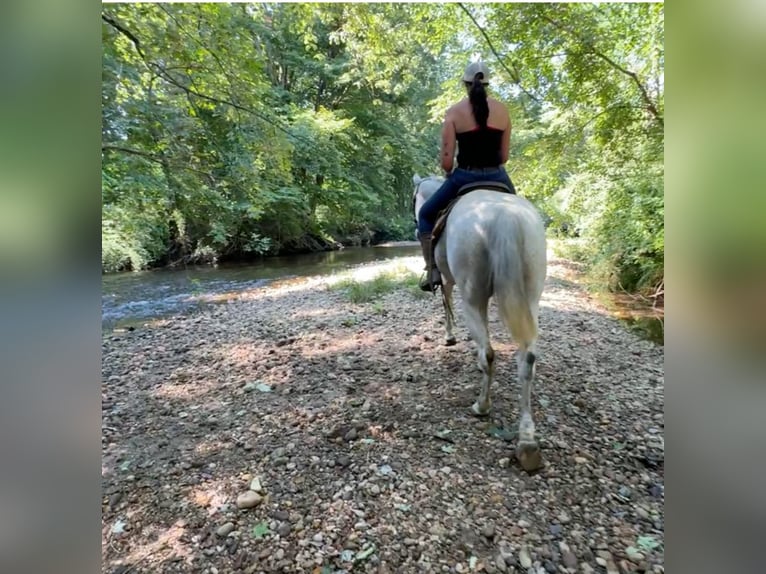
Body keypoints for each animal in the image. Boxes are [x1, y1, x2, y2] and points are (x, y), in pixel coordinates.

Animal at [414, 176, 552, 472]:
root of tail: (506, 218)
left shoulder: (447, 279)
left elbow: (446, 302)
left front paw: (449, 336)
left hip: (472, 298)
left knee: (488, 352)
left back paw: (481, 405)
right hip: (532, 299)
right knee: (527, 360)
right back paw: (527, 442)